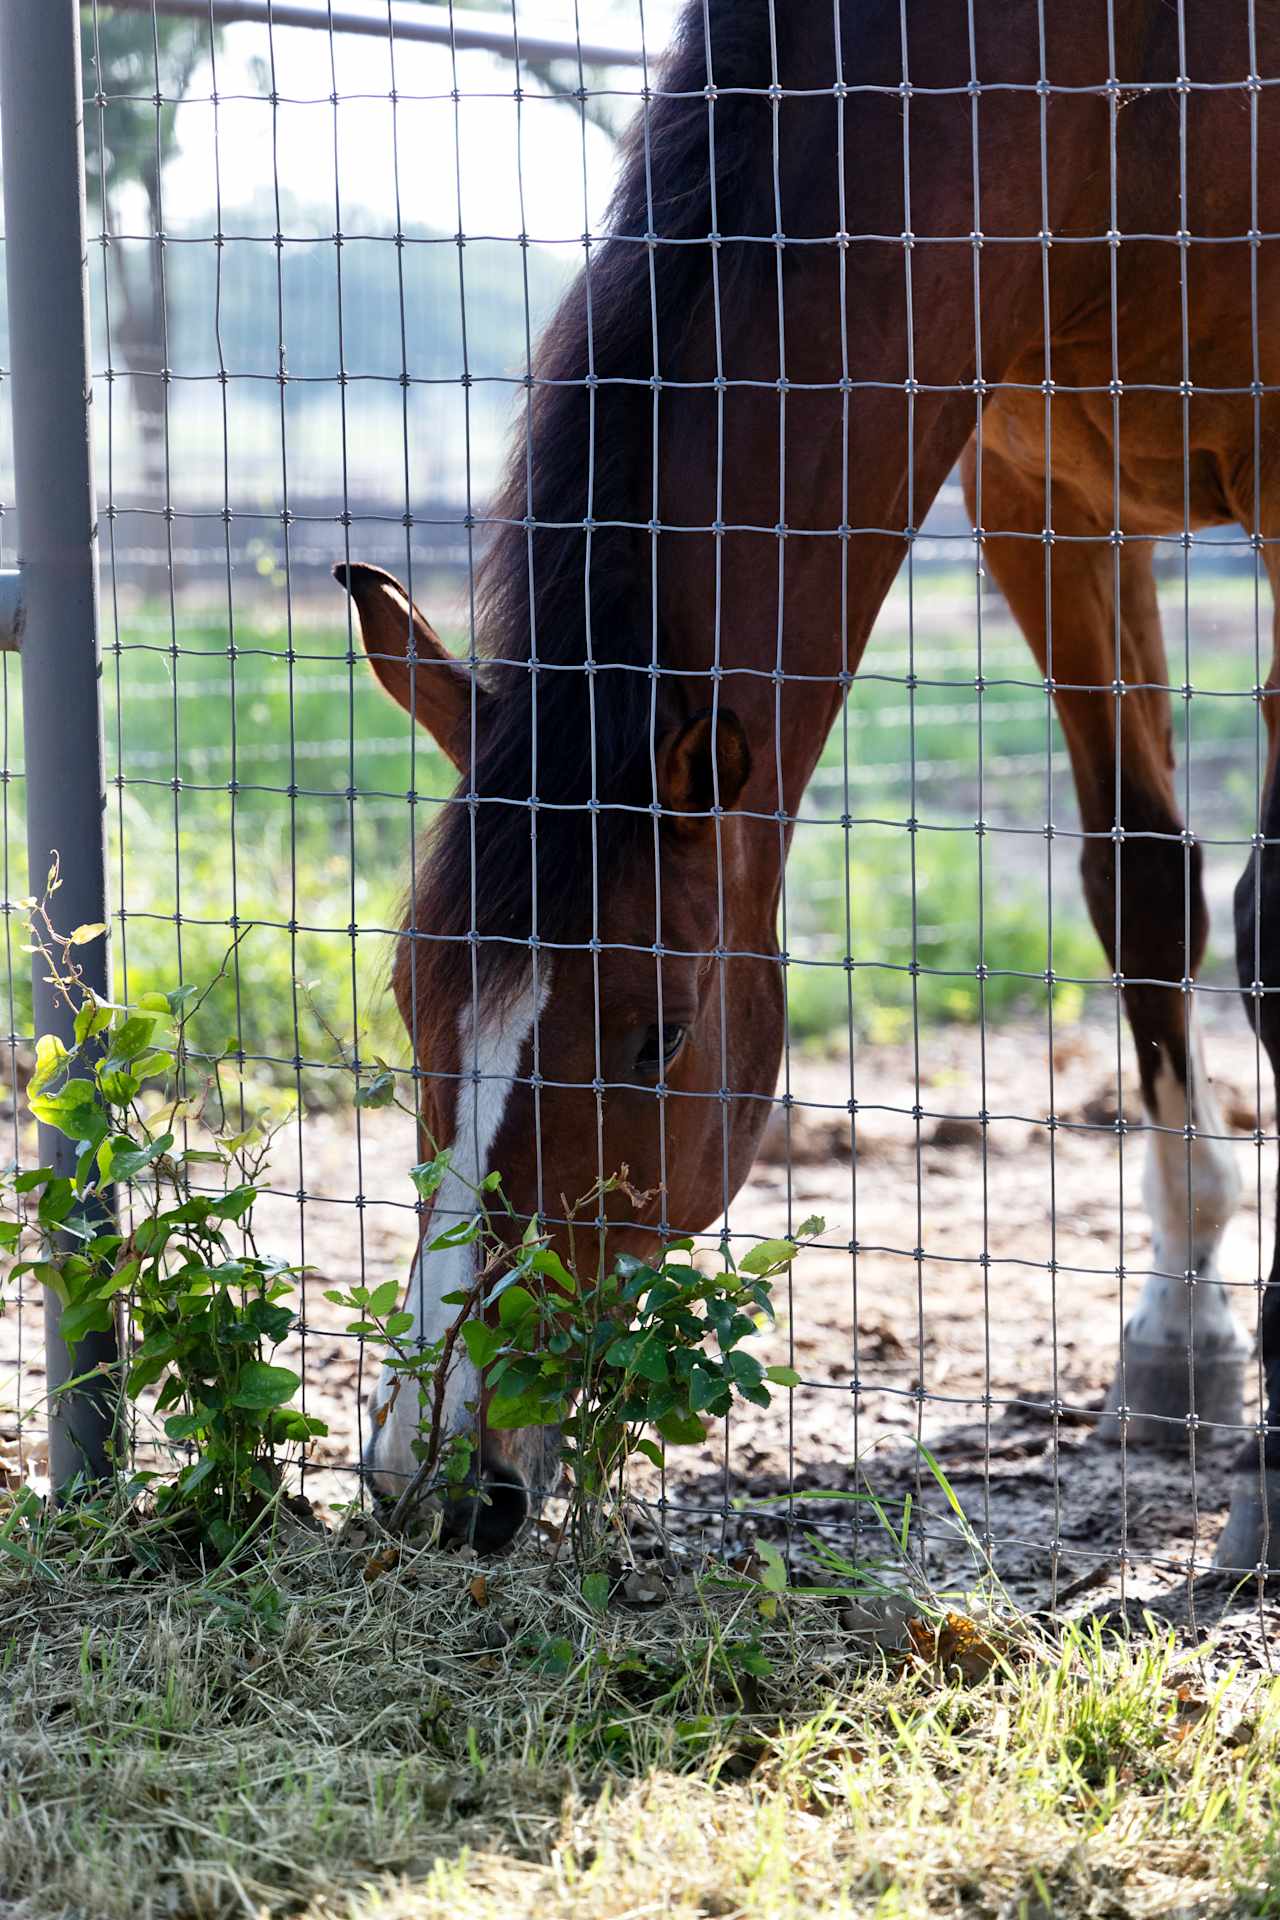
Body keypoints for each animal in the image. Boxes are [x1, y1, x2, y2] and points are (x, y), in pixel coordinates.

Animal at [335, 0, 1280, 1566]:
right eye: (411, 1001)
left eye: (656, 1036)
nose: (438, 1473)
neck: (1125, 96)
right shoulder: (1036, 492)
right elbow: (1139, 888)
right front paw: (1184, 1333)